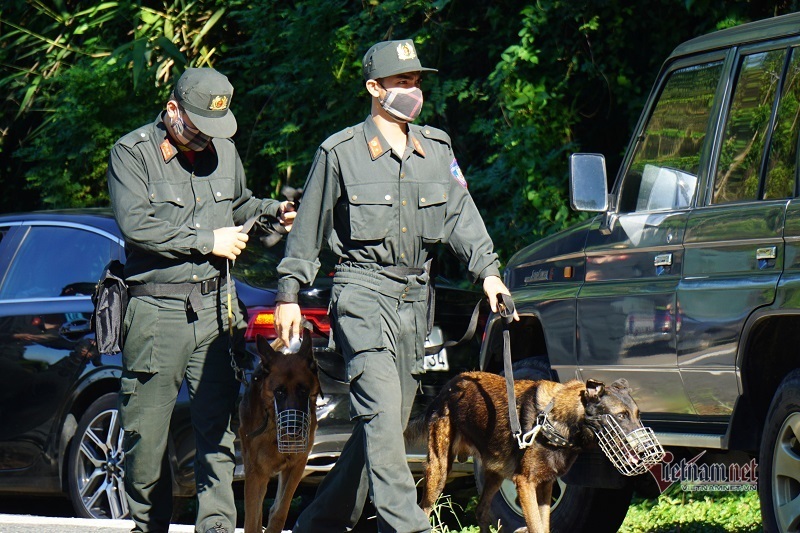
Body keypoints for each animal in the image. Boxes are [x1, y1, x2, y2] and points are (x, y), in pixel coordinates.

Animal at [239, 328, 320, 532]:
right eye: (279, 392)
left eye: (303, 391)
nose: (293, 429)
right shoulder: (255, 473)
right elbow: (251, 520)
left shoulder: (296, 467)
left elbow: (279, 511)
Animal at [418, 370, 644, 532]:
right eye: (621, 416)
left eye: (637, 415)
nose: (643, 450)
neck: (554, 421)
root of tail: (449, 385)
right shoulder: (525, 484)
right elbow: (535, 526)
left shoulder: (545, 486)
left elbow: (544, 527)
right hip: (439, 471)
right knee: (424, 510)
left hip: (495, 475)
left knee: (481, 510)